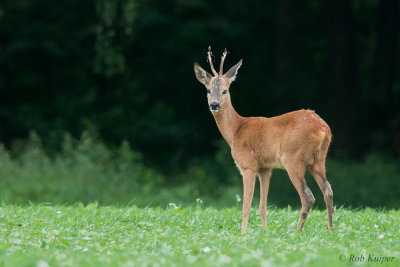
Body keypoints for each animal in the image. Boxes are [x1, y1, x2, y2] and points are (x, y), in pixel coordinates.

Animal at [194, 47, 334, 233]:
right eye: (208, 90)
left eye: (225, 90)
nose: (214, 105)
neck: (235, 131)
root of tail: (323, 128)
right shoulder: (265, 168)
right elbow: (262, 205)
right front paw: (265, 232)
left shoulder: (248, 165)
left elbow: (246, 205)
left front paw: (243, 233)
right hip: (318, 159)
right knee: (328, 191)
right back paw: (330, 230)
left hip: (293, 157)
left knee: (308, 196)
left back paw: (297, 232)